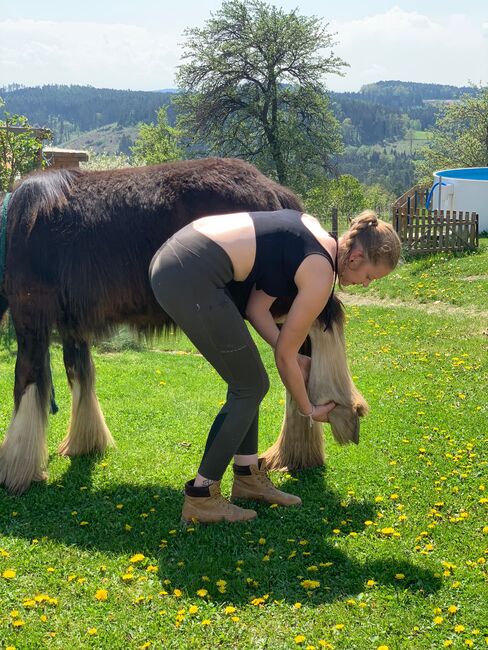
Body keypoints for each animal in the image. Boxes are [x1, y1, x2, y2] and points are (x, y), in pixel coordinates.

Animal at [0, 156, 366, 492]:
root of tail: (275, 191)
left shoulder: (30, 317)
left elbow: (27, 380)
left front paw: (15, 469)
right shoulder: (73, 325)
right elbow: (79, 374)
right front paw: (84, 444)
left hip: (280, 290)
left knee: (325, 320)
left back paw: (342, 410)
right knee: (298, 350)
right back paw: (296, 451)